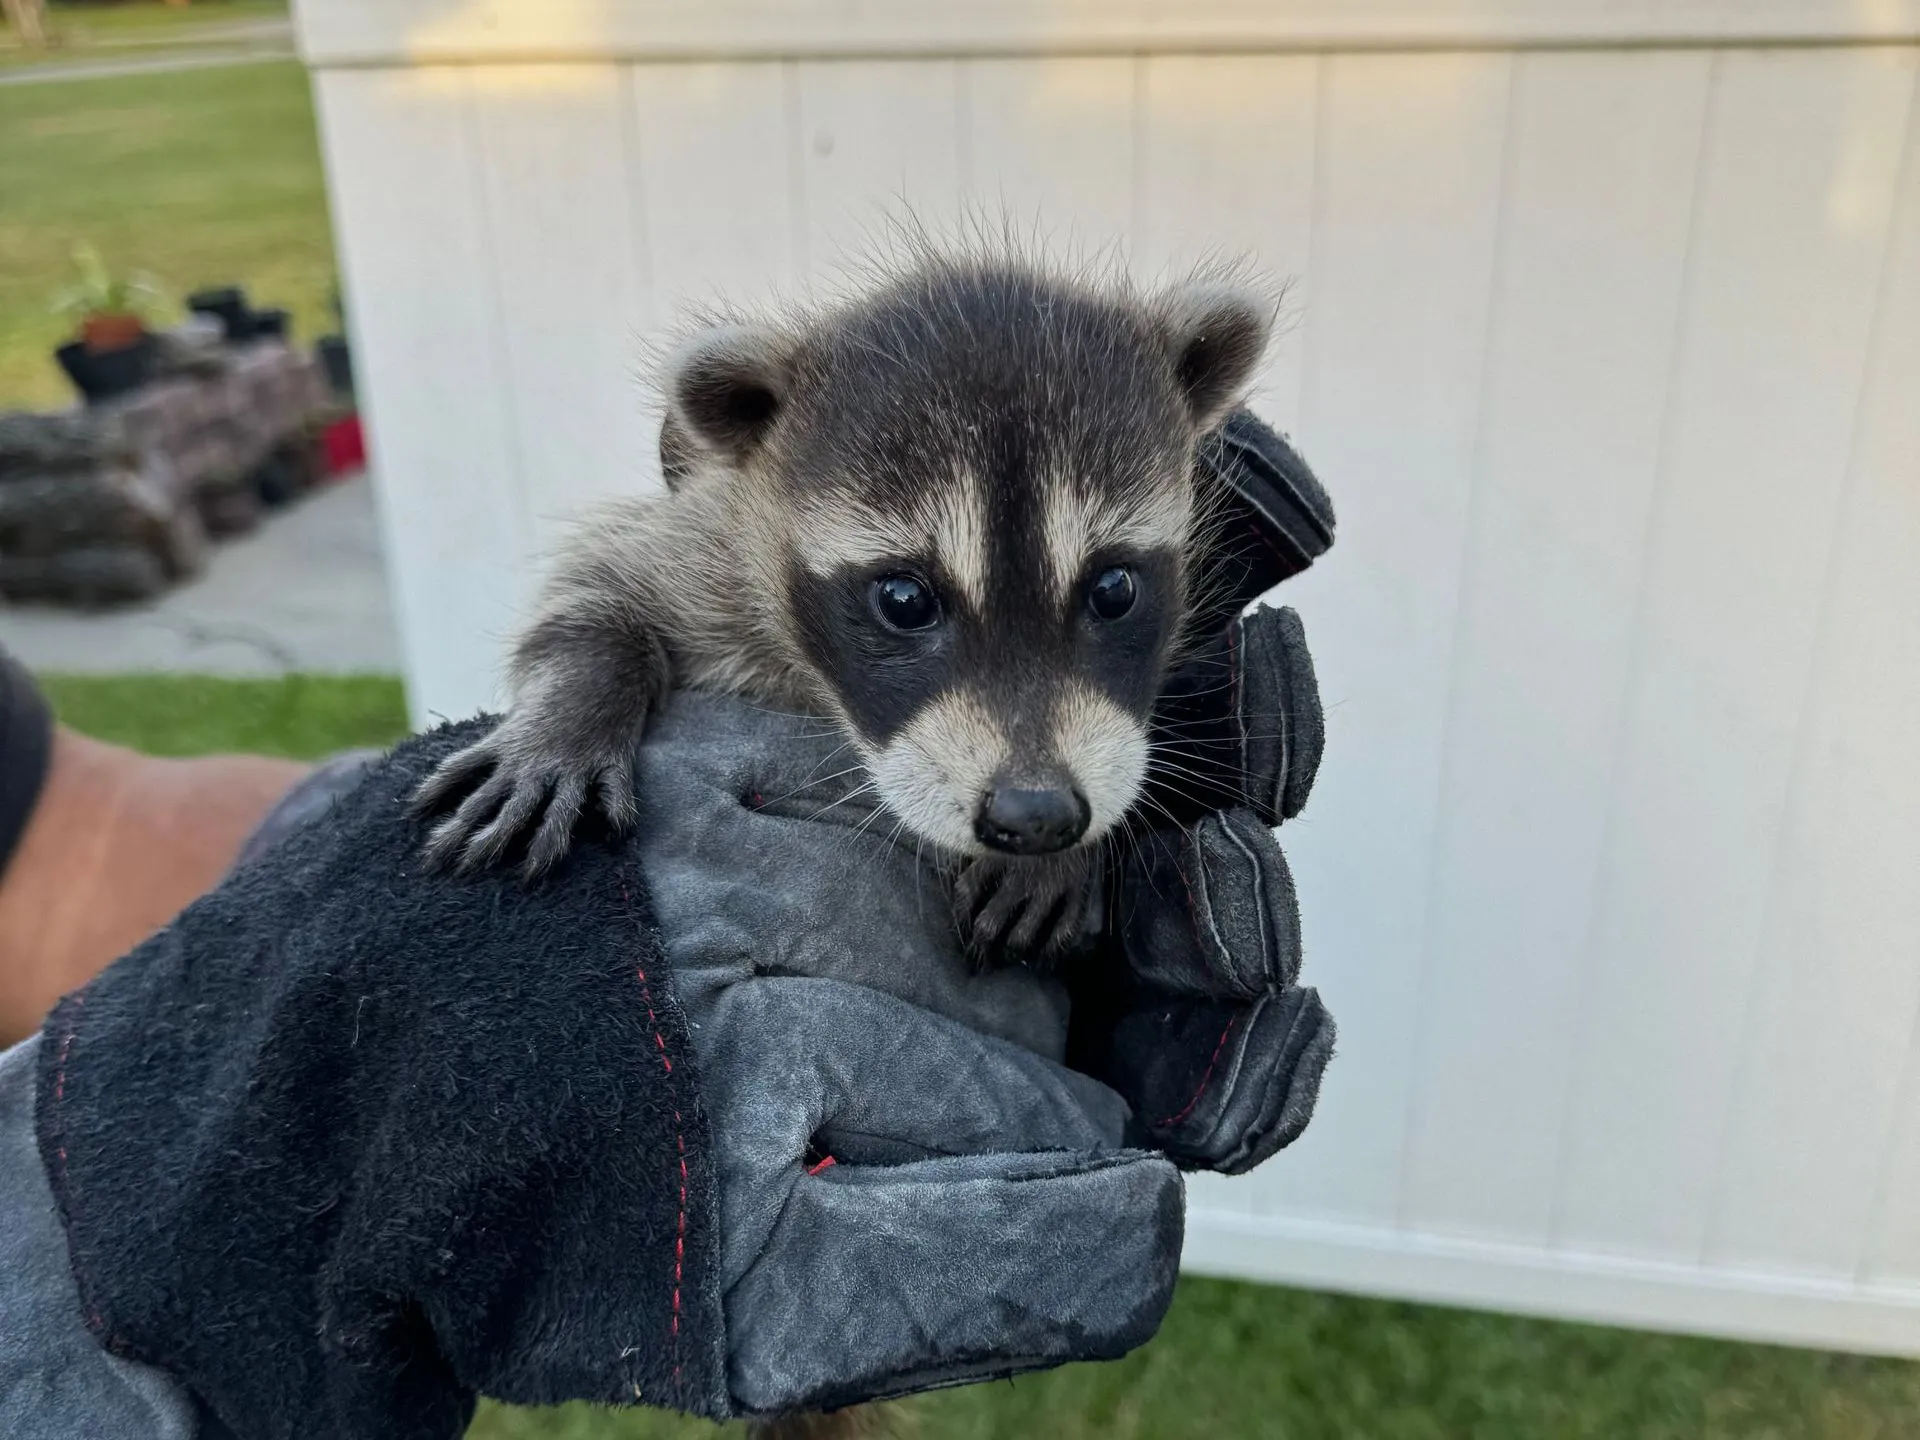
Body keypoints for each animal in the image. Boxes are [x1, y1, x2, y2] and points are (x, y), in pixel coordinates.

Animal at [411, 251, 1273, 963]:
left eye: (1113, 589)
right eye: (904, 600)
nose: (1037, 816)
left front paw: (1073, 855)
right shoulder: (712, 546)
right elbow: (600, 581)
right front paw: (574, 707)